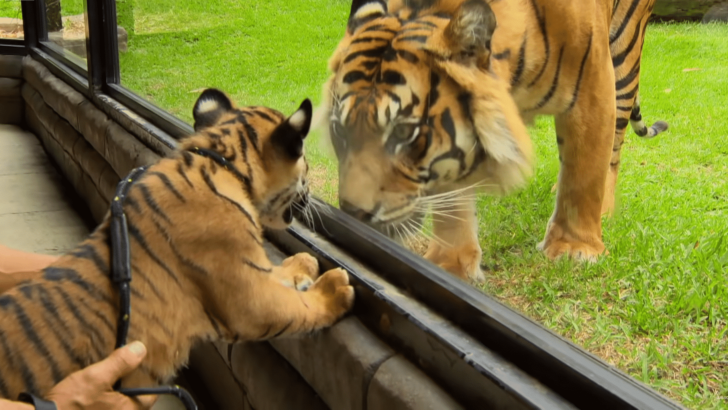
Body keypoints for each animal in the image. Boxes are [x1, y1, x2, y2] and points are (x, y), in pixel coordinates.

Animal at [0, 88, 354, 400]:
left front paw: (304, 263)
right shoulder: (250, 298)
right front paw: (335, 289)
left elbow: (277, 269)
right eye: (306, 162)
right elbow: (300, 309)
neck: (223, 160)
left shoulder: (249, 264)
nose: (311, 196)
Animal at [318, 0, 668, 283]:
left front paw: (574, 248)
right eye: (340, 132)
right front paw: (450, 264)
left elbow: (585, 172)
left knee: (612, 152)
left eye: (404, 133)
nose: (353, 212)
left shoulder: (594, 86)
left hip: (624, 60)